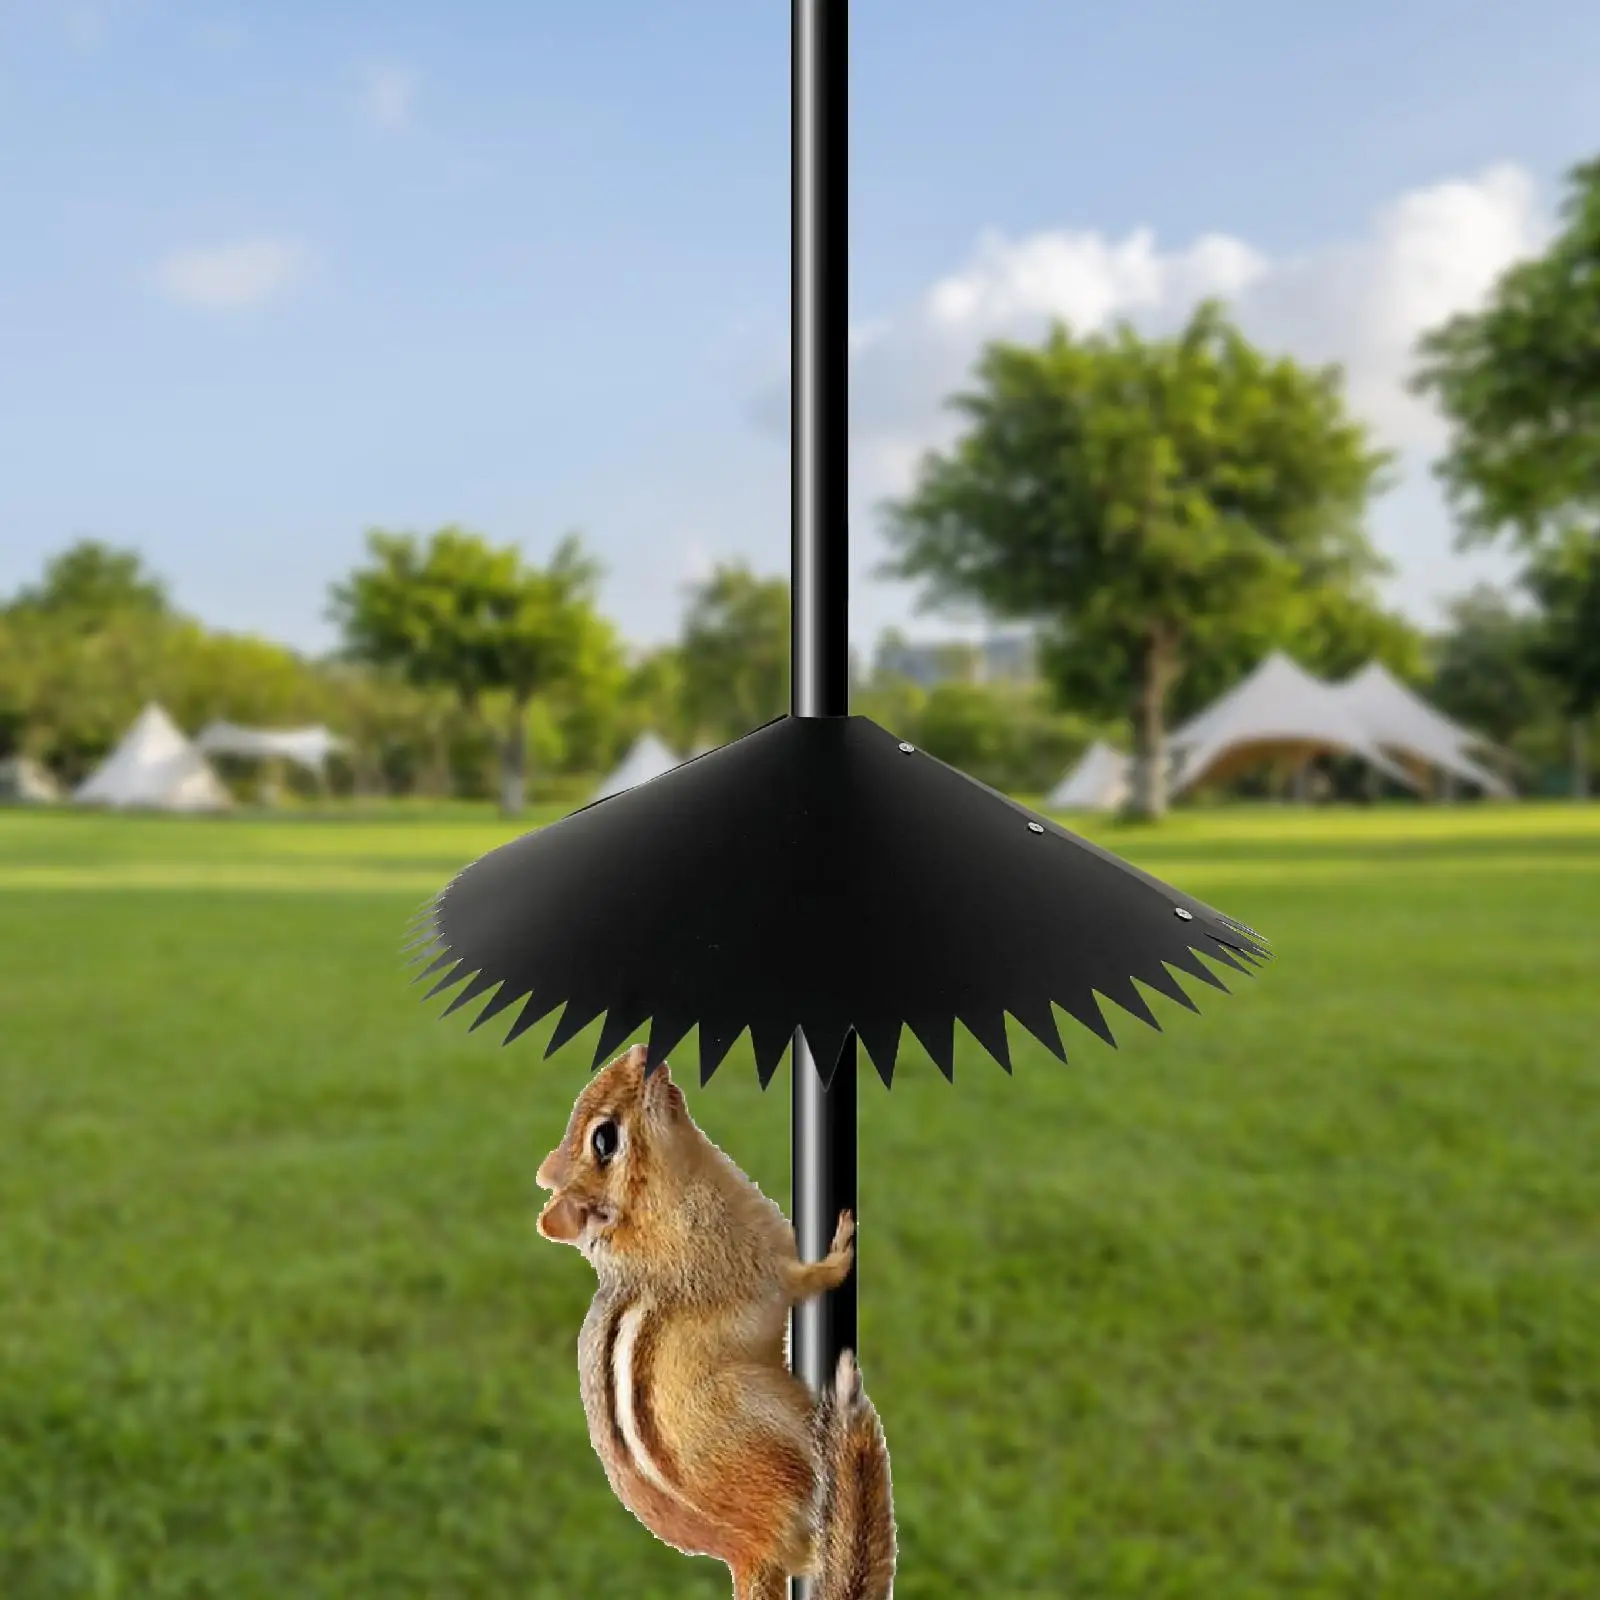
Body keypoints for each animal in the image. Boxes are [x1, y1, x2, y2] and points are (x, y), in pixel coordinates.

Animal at [535, 1043, 896, 1600]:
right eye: (604, 1138)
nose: (641, 1050)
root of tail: (748, 1550)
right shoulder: (759, 1270)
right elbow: (807, 1280)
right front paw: (840, 1249)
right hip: (769, 1419)